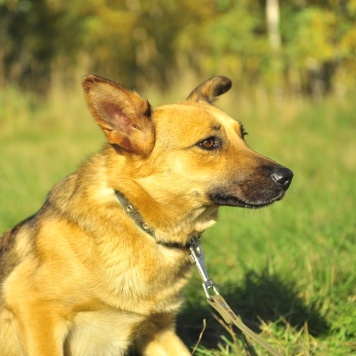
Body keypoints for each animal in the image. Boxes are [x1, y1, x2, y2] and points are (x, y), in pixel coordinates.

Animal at [0, 74, 292, 354]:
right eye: (208, 143)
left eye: (243, 135)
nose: (287, 177)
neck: (137, 220)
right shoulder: (35, 309)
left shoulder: (159, 332)